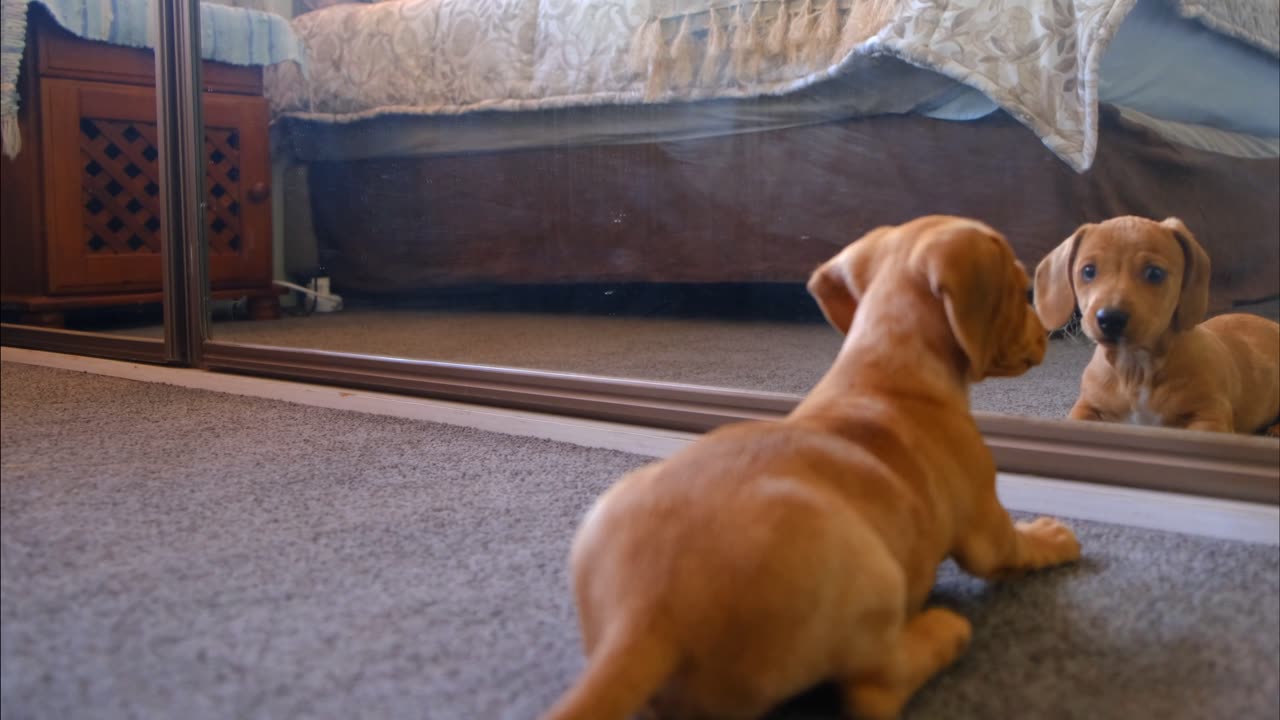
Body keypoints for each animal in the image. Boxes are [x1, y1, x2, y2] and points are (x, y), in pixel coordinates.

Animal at [540, 215, 1080, 717]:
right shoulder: (986, 525)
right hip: (872, 576)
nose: (1047, 333)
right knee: (874, 690)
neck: (886, 363)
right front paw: (1052, 536)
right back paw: (943, 631)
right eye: (1019, 287)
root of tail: (646, 613)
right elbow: (1017, 548)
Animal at [1034, 215, 1274, 435]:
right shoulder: (1086, 408)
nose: (1110, 318)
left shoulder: (1210, 416)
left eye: (1155, 273)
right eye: (1088, 271)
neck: (1135, 370)